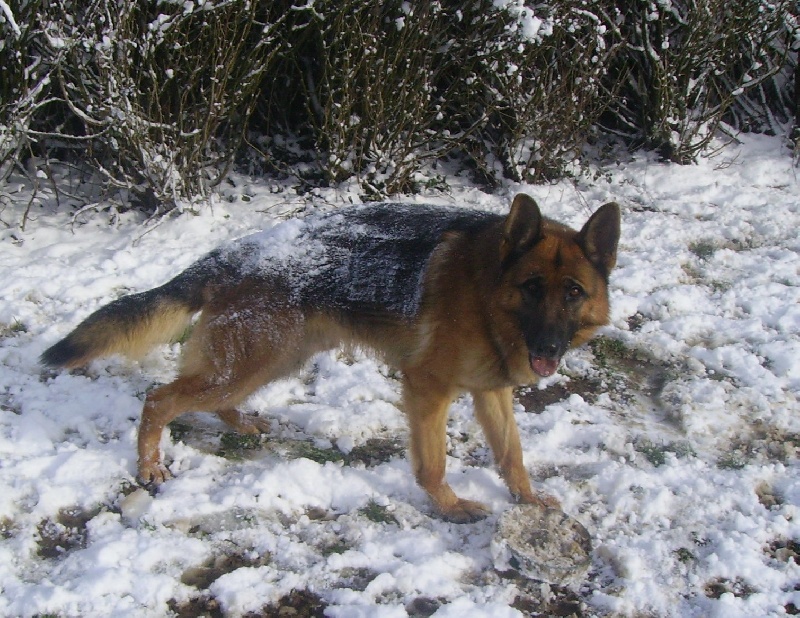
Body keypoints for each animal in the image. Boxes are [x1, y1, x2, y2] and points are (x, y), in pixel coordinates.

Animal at [40, 192, 620, 520]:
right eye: (531, 287)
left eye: (573, 292)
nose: (548, 349)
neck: (486, 293)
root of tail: (234, 250)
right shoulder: (428, 390)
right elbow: (433, 464)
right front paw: (450, 508)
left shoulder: (492, 393)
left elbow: (511, 456)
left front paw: (527, 500)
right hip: (253, 360)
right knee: (160, 399)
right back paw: (149, 466)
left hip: (273, 359)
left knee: (205, 396)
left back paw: (239, 423)